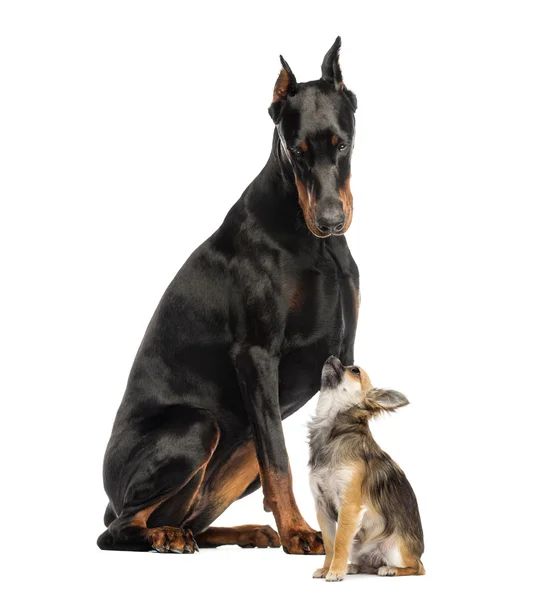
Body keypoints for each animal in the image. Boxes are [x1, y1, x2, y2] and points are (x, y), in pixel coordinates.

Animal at [97, 36, 360, 552]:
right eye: (295, 150)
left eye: (342, 143)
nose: (331, 222)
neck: (314, 245)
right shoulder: (255, 355)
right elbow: (279, 459)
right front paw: (300, 532)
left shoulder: (346, 351)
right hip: (200, 426)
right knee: (117, 529)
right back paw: (165, 538)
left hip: (237, 454)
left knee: (189, 518)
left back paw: (239, 532)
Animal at [308, 356, 424, 580]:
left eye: (354, 371)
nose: (332, 356)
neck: (333, 431)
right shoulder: (322, 506)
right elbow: (330, 543)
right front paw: (327, 568)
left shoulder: (349, 507)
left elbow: (340, 541)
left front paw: (335, 572)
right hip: (359, 545)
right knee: (366, 563)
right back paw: (353, 566)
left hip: (394, 548)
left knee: (418, 567)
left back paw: (390, 569)